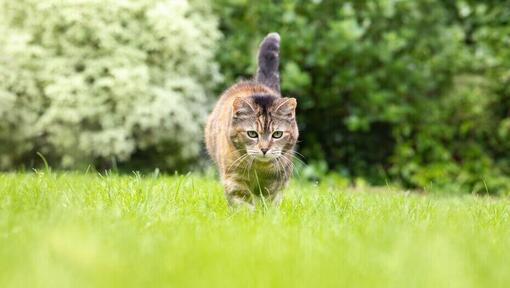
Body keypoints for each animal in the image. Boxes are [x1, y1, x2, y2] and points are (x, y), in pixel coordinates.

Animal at [204, 32, 298, 207]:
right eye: (252, 134)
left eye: (277, 134)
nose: (264, 149)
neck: (260, 168)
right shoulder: (234, 179)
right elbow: (243, 203)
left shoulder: (278, 180)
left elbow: (270, 201)